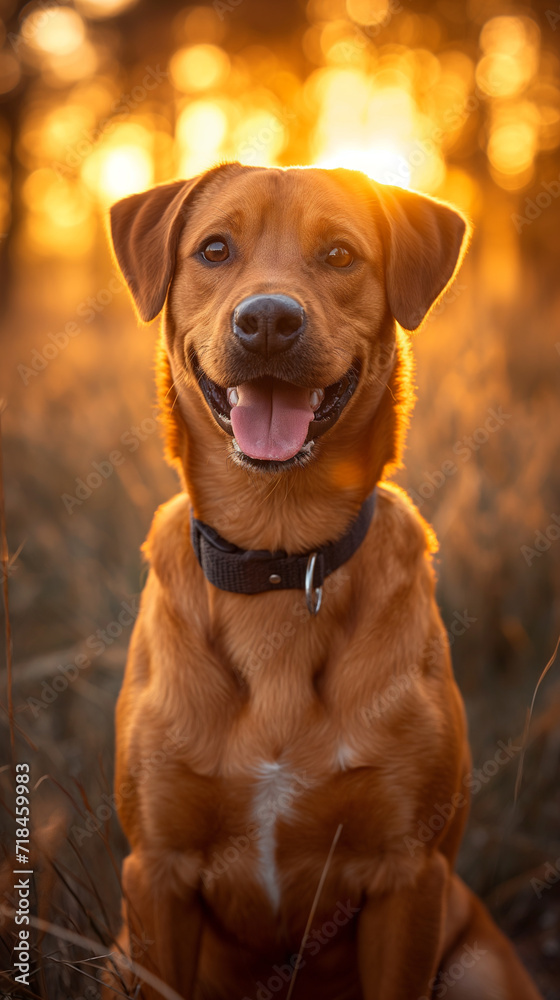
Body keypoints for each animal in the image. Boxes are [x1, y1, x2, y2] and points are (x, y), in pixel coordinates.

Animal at [106, 166, 544, 1000]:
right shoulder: (157, 877)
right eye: (215, 249)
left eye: (340, 255)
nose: (268, 321)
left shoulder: (409, 875)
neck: (280, 550)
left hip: (476, 961)